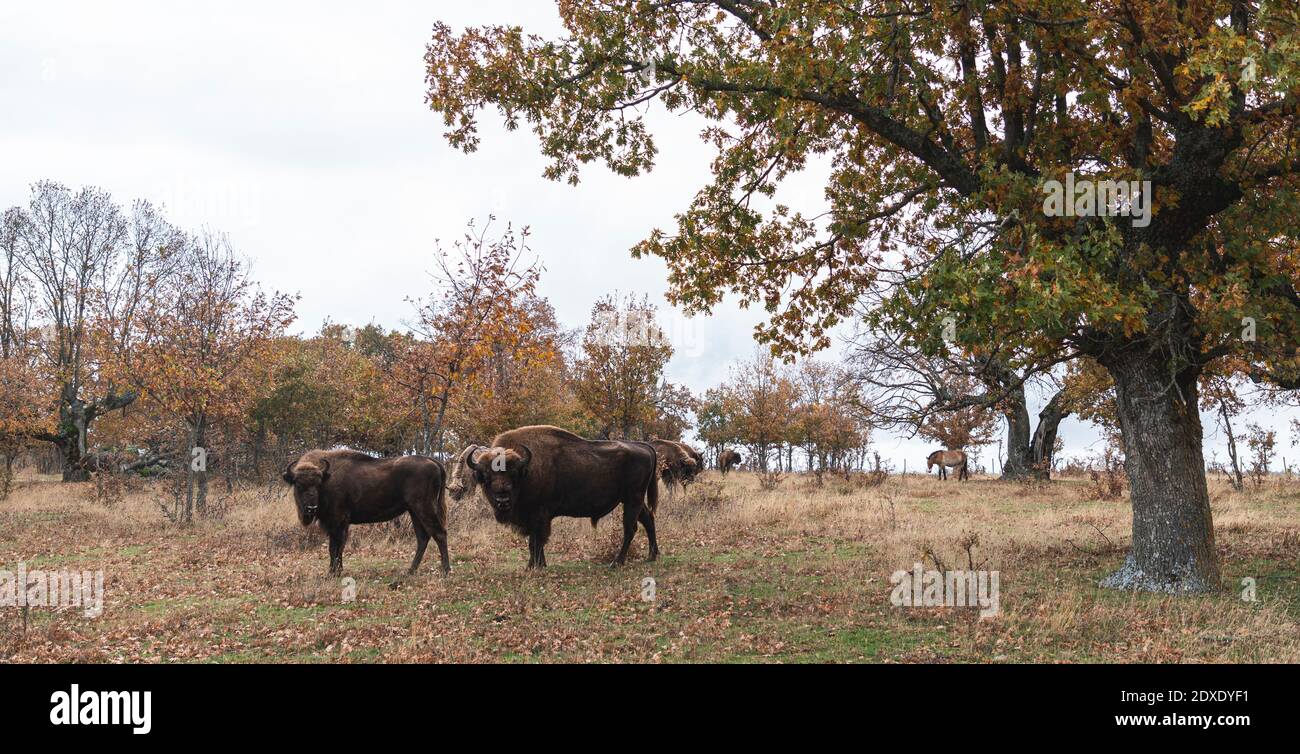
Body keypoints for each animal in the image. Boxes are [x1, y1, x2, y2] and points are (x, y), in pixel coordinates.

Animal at [280, 447, 452, 577]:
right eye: (298, 485)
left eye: (317, 484)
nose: (311, 508)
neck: (327, 478)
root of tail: (434, 462)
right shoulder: (334, 524)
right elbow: (334, 547)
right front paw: (334, 571)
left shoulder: (338, 521)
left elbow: (336, 547)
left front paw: (333, 573)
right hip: (414, 511)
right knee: (423, 538)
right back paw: (410, 571)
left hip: (424, 508)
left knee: (439, 534)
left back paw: (445, 571)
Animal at [452, 426, 665, 569]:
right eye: (486, 477)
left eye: (513, 475)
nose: (502, 500)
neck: (527, 470)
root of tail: (645, 447)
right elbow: (535, 542)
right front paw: (540, 564)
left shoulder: (539, 515)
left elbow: (535, 541)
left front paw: (532, 566)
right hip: (633, 500)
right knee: (648, 519)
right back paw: (652, 555)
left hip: (632, 499)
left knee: (630, 528)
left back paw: (617, 562)